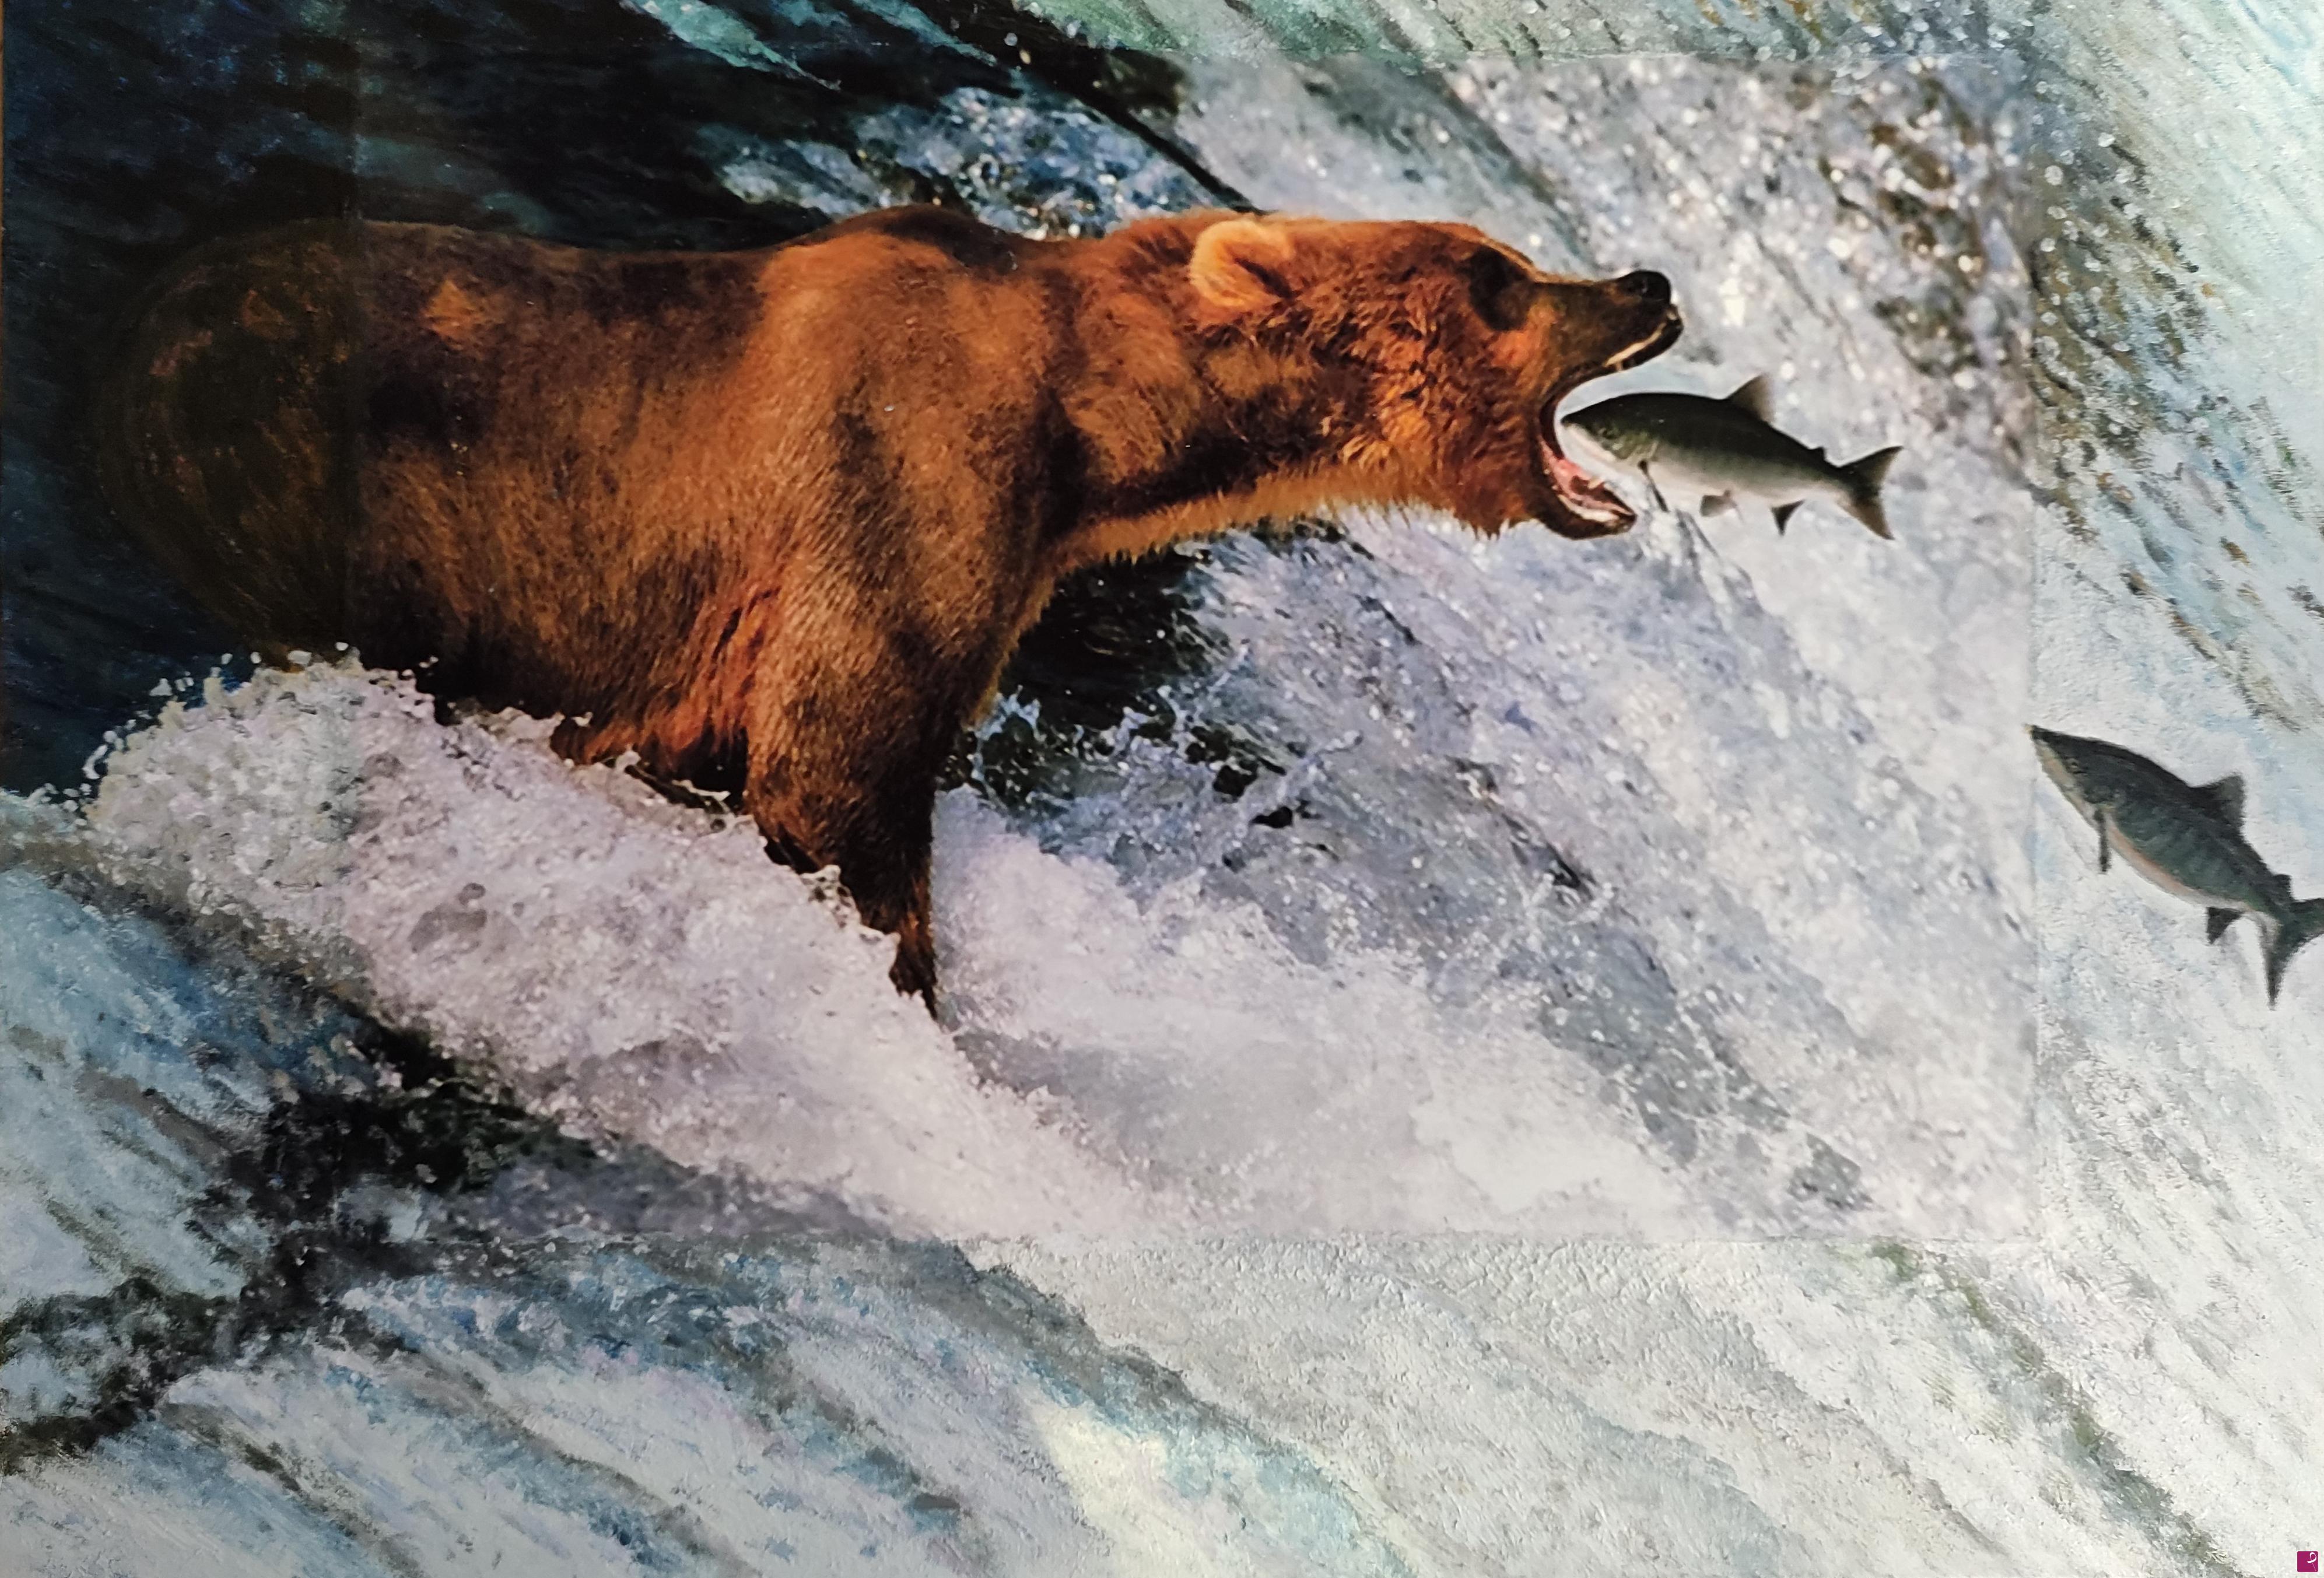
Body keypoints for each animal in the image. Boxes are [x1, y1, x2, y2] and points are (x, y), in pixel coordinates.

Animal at [92, 205, 1683, 1008]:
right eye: (1498, 278)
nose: (1649, 280)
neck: (1103, 436)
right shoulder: (906, 476)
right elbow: (838, 760)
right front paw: (912, 997)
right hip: (314, 470)